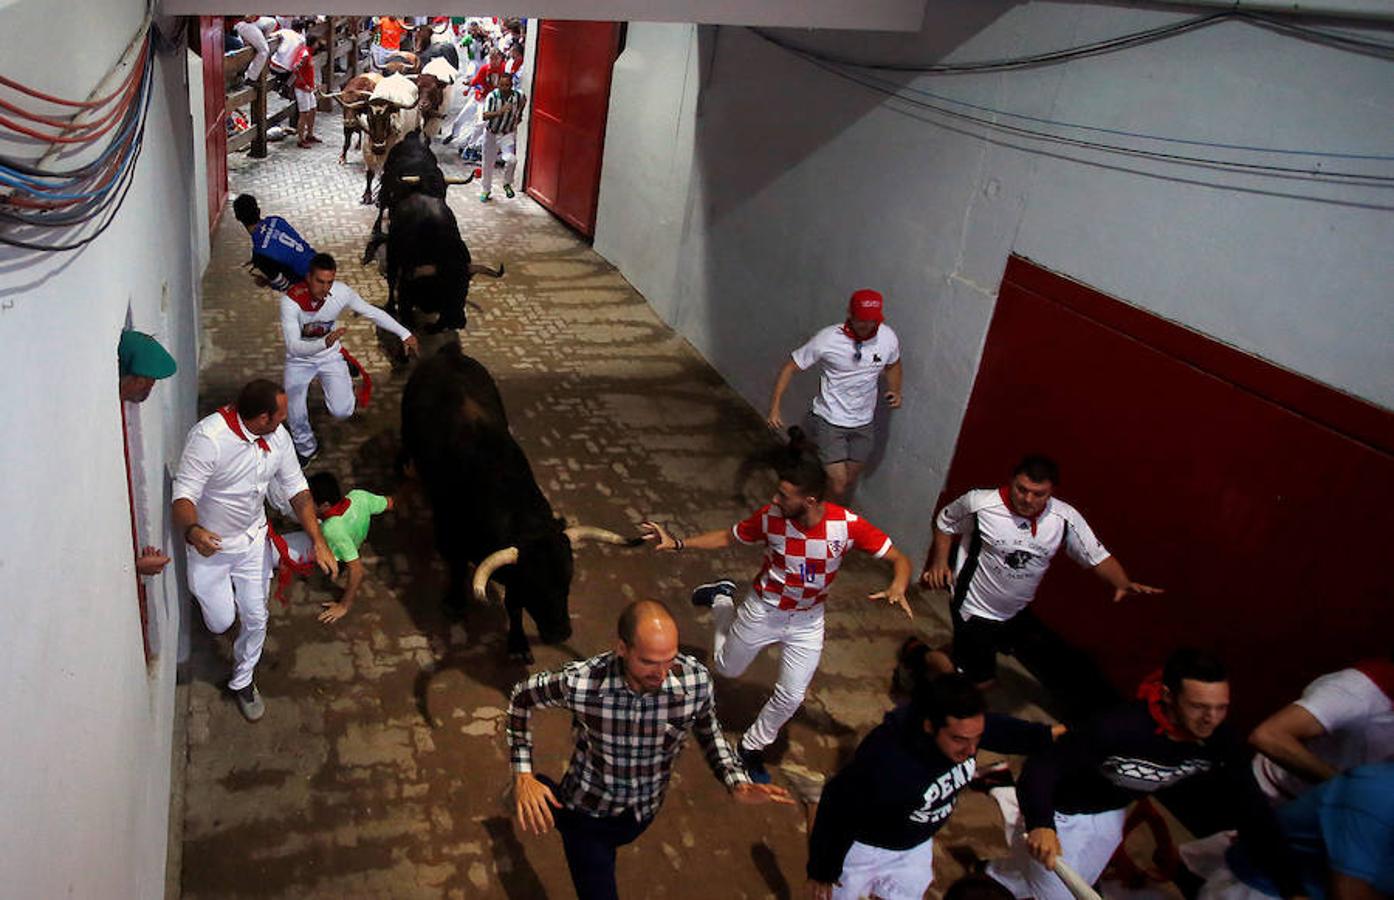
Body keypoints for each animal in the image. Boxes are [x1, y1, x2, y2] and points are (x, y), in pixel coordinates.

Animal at [404, 345, 641, 663]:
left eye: (567, 583)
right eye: (535, 587)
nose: (560, 633)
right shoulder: (452, 533)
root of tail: (448, 353)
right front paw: (454, 601)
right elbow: (455, 566)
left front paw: (517, 643)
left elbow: (513, 607)